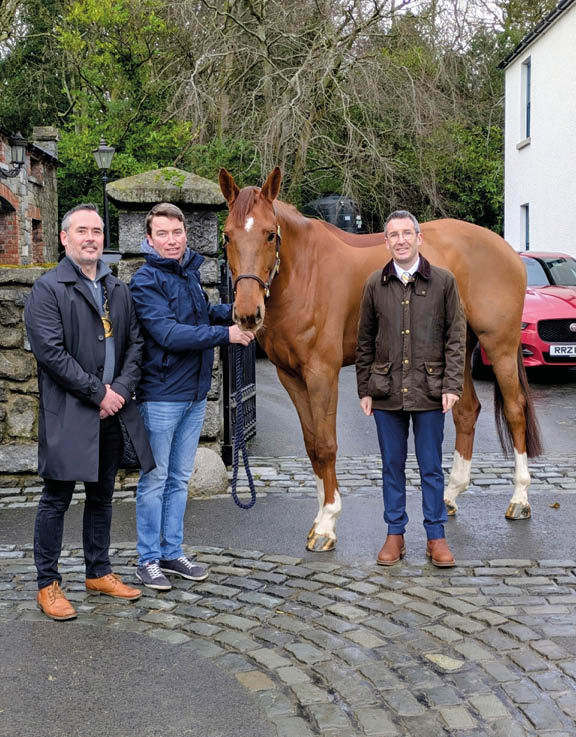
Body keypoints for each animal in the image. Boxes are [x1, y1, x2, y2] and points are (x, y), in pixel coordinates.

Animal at [219, 167, 542, 552]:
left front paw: (327, 524)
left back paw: (520, 499)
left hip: (500, 344)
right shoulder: (291, 377)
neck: (304, 273)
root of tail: (507, 250)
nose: (247, 314)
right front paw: (318, 519)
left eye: (270, 234)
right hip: (456, 349)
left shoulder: (322, 374)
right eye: (227, 236)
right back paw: (450, 495)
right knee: (466, 411)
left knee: (515, 409)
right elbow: (311, 445)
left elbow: (326, 445)